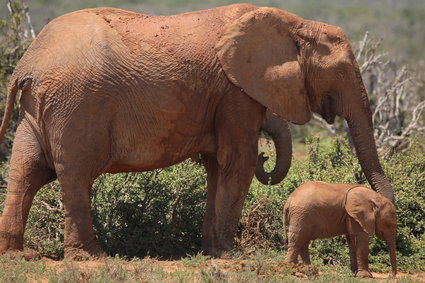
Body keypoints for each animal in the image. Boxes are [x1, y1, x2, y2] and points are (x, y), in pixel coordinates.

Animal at [0, 3, 392, 258]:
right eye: (340, 71)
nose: (386, 207)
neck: (294, 23)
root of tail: (28, 64)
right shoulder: (235, 89)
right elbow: (238, 160)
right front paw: (231, 254)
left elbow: (218, 166)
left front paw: (211, 251)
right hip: (77, 104)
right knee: (75, 175)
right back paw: (92, 257)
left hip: (38, 109)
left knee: (26, 171)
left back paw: (18, 254)